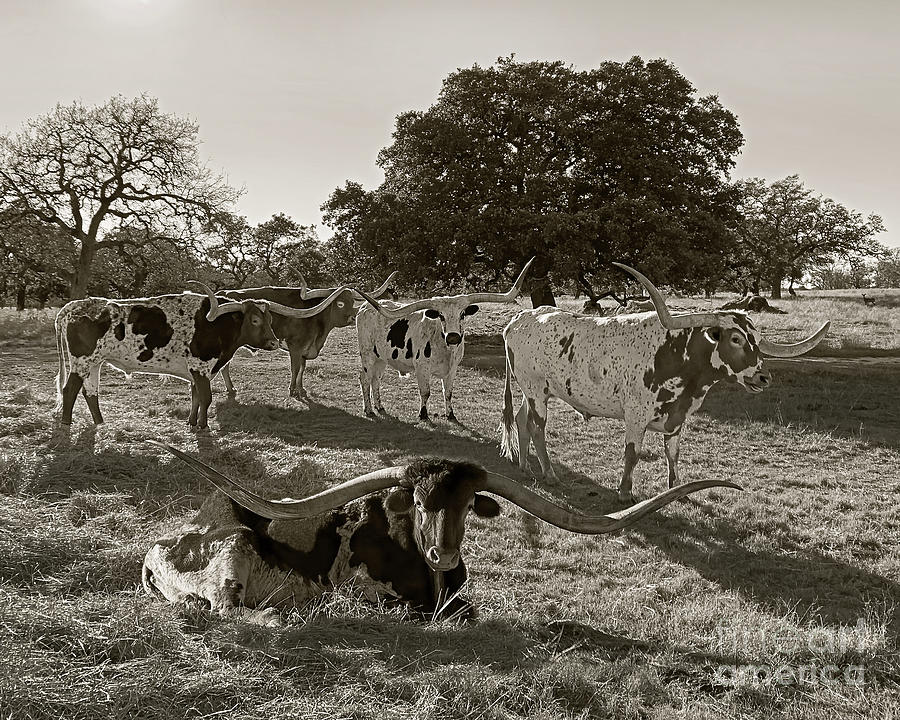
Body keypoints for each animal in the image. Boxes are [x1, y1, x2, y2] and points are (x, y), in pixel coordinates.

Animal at [51, 286, 348, 430]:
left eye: (269, 319)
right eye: (254, 320)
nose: (274, 343)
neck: (216, 324)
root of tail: (71, 307)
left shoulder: (197, 371)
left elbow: (195, 396)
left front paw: (192, 423)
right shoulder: (201, 367)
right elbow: (206, 397)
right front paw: (204, 426)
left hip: (95, 363)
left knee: (90, 392)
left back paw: (100, 423)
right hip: (81, 361)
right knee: (70, 390)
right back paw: (66, 425)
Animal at [142, 444, 740, 620]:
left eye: (467, 507)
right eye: (419, 504)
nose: (444, 555)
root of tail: (155, 549)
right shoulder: (362, 592)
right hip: (235, 550)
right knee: (227, 608)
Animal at [218, 272, 398, 402]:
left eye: (352, 301)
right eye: (340, 303)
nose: (353, 317)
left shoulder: (305, 349)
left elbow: (302, 369)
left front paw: (301, 388)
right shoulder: (295, 347)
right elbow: (295, 368)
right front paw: (292, 390)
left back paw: (230, 388)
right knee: (224, 365)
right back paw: (230, 387)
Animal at [354, 258, 536, 420]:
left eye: (462, 314)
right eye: (441, 316)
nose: (454, 337)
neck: (444, 349)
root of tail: (364, 307)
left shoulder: (452, 369)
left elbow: (448, 393)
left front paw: (450, 415)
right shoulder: (422, 368)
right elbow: (425, 392)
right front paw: (423, 415)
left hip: (381, 358)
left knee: (375, 379)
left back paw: (379, 407)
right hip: (367, 355)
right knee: (365, 379)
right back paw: (368, 409)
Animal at [500, 262, 828, 504]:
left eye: (756, 339)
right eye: (735, 339)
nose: (763, 377)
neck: (677, 356)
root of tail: (518, 319)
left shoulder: (677, 416)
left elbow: (673, 453)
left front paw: (676, 491)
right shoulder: (636, 415)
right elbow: (632, 454)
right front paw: (624, 493)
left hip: (534, 391)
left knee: (522, 420)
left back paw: (524, 466)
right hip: (536, 390)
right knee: (537, 427)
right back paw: (549, 473)